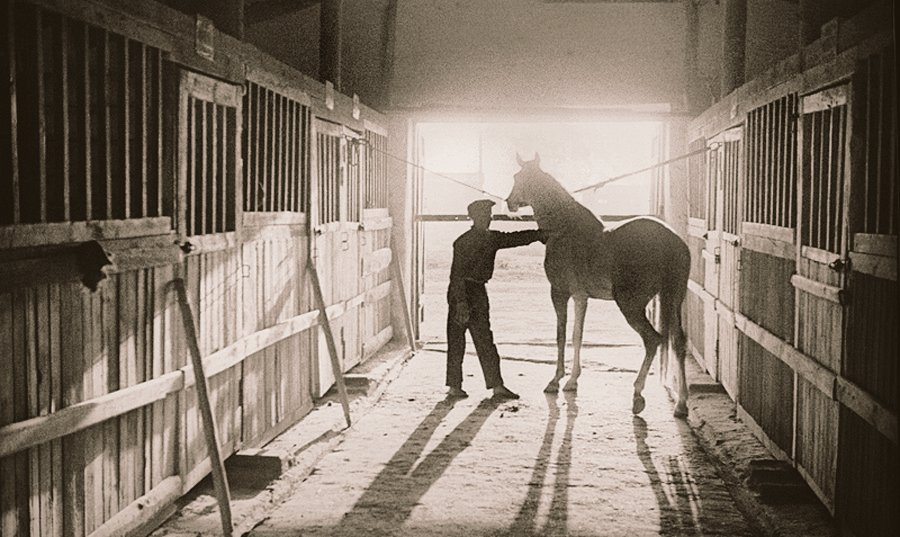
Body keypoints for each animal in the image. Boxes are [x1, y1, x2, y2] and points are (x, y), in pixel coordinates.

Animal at [506, 153, 692, 418]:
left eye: (519, 177)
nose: (509, 202)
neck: (563, 228)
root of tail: (674, 243)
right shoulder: (581, 297)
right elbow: (578, 335)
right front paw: (572, 381)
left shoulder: (559, 293)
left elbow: (561, 335)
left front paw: (555, 381)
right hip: (673, 299)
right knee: (678, 342)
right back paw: (681, 404)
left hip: (631, 304)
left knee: (653, 340)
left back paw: (638, 395)